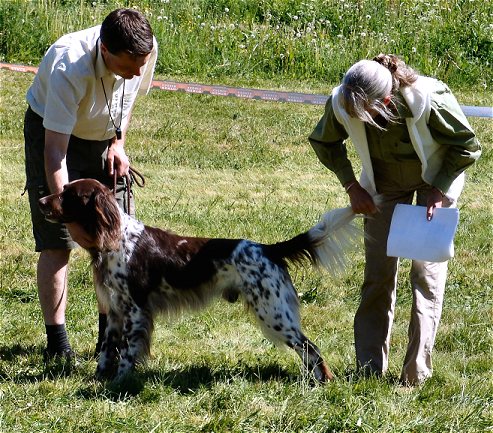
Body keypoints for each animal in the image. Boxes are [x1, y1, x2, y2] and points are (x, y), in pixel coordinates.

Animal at [38, 178, 358, 382]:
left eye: (67, 193)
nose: (40, 200)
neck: (115, 240)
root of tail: (268, 249)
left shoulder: (135, 311)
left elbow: (127, 353)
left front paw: (119, 383)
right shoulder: (115, 311)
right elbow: (107, 350)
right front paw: (100, 378)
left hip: (273, 312)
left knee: (311, 348)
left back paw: (323, 382)